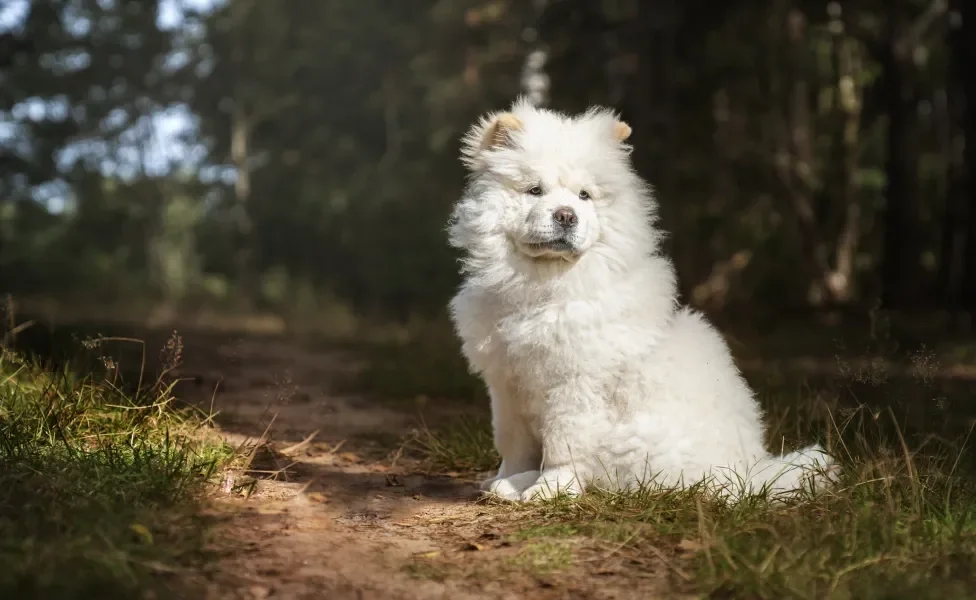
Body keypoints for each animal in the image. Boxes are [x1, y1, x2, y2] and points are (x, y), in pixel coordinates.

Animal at [446, 98, 836, 502]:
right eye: (535, 191)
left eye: (584, 196)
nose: (566, 215)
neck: (544, 284)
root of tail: (750, 476)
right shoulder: (507, 385)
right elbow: (513, 445)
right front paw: (504, 478)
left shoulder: (575, 387)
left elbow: (562, 448)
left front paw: (549, 489)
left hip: (633, 440)